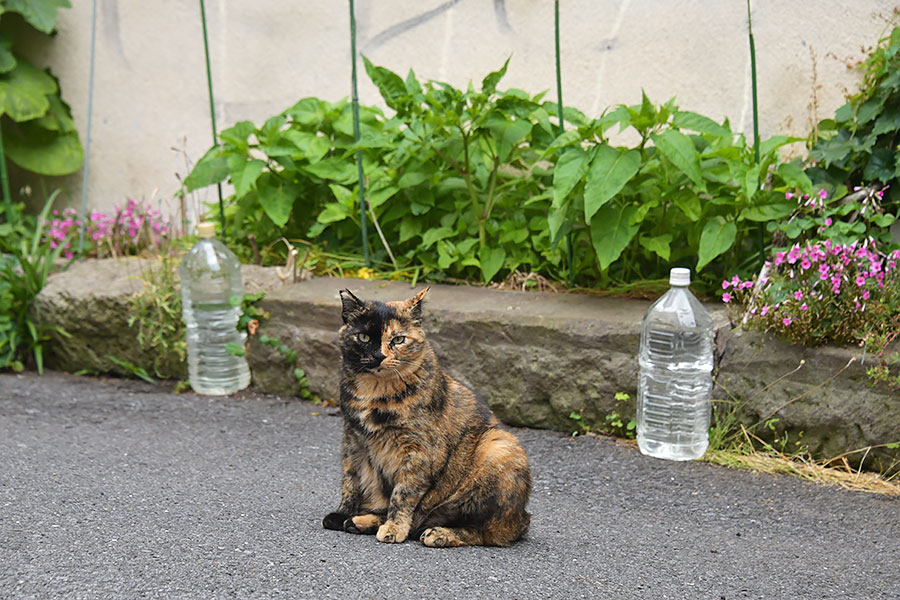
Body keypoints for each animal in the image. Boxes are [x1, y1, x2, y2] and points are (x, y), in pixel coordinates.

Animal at [324, 288, 532, 548]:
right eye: (363, 337)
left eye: (398, 340)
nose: (379, 356)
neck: (374, 392)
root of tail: (522, 517)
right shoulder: (353, 439)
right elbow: (350, 479)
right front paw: (344, 512)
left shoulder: (419, 450)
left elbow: (404, 492)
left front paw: (394, 527)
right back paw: (360, 520)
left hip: (500, 446)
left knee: (484, 531)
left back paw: (438, 533)